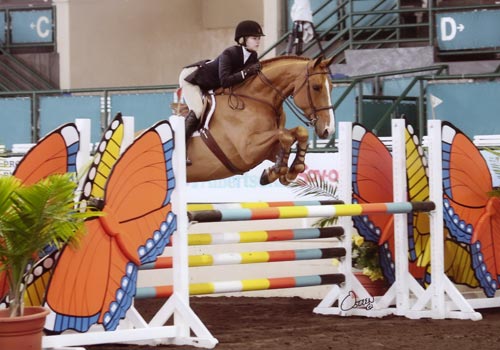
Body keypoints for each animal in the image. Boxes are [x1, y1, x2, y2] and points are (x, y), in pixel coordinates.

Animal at [180, 55, 336, 186]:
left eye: (331, 87)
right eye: (316, 87)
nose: (328, 130)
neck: (256, 100)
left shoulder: (268, 151)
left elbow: (299, 132)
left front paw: (286, 171)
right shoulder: (247, 151)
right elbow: (285, 135)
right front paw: (276, 172)